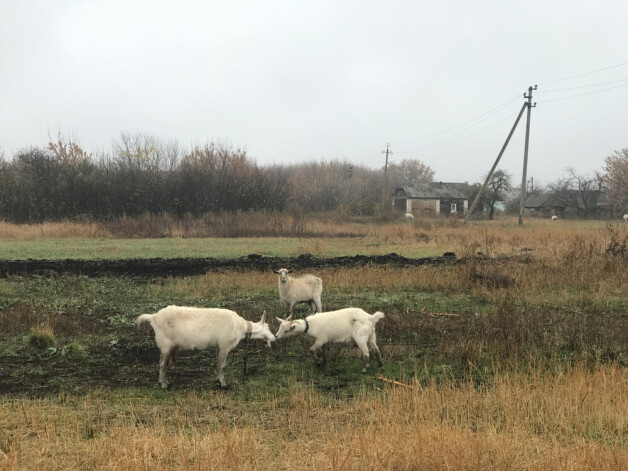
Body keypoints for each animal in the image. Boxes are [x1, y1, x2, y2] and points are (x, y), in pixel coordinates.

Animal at [137, 306, 274, 390]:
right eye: (268, 326)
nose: (274, 338)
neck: (241, 327)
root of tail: (153, 317)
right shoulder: (224, 345)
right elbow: (223, 365)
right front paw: (223, 384)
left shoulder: (218, 346)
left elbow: (218, 363)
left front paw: (218, 380)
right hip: (165, 343)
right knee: (161, 364)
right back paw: (163, 384)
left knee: (164, 364)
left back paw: (166, 381)